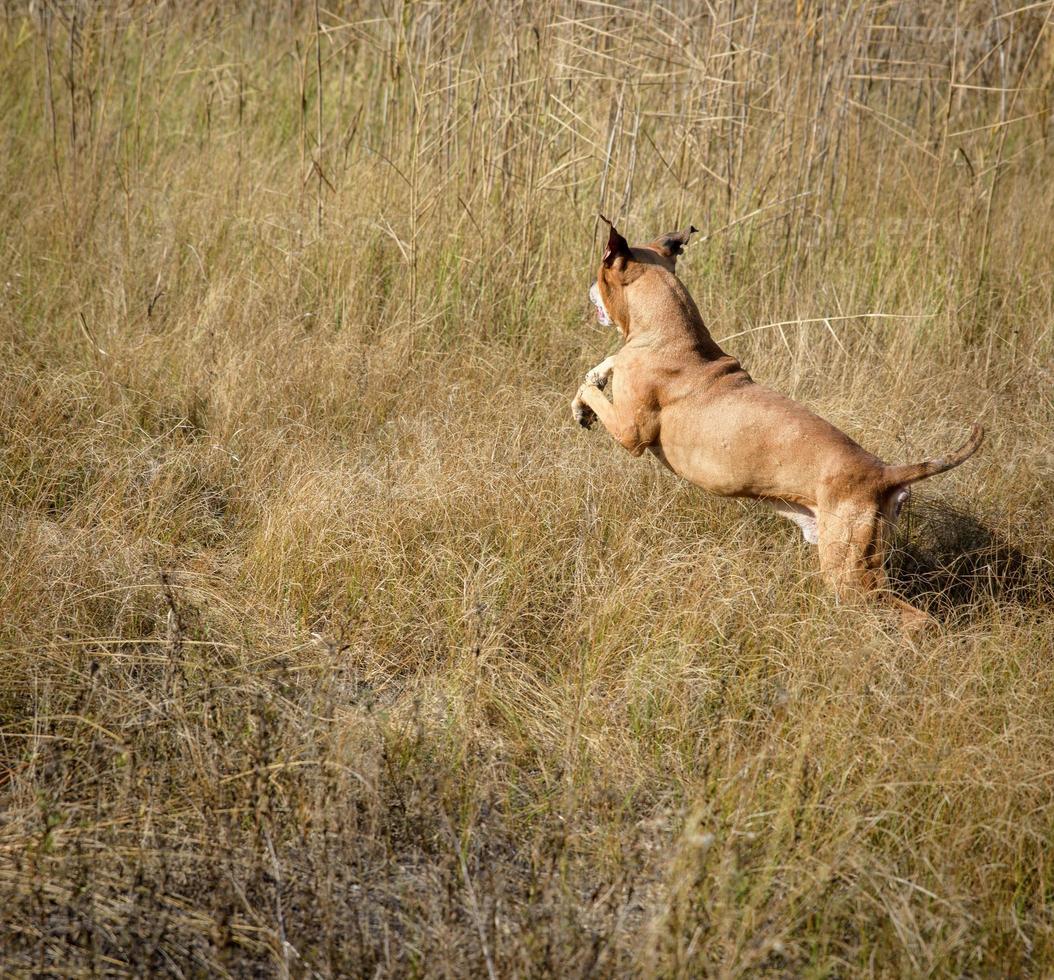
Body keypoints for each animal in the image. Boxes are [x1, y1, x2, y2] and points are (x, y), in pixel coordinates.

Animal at [573, 218, 982, 623]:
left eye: (601, 270)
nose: (588, 286)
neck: (669, 332)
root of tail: (885, 474)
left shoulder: (630, 434)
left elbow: (591, 387)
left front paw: (585, 398)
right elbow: (605, 365)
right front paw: (593, 383)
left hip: (851, 575)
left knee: (914, 618)